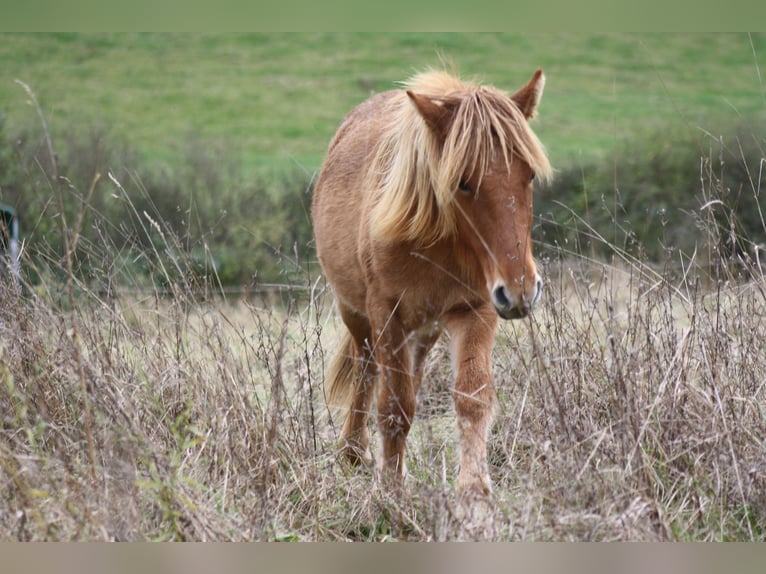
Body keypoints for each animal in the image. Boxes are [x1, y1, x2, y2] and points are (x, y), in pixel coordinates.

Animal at [312, 70, 552, 498]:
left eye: (529, 175)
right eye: (463, 183)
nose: (521, 290)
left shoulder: (477, 310)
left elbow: (473, 398)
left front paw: (475, 492)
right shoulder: (386, 315)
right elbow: (394, 407)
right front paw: (391, 493)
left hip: (425, 329)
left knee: (412, 374)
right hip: (357, 315)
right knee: (366, 369)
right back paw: (354, 452)